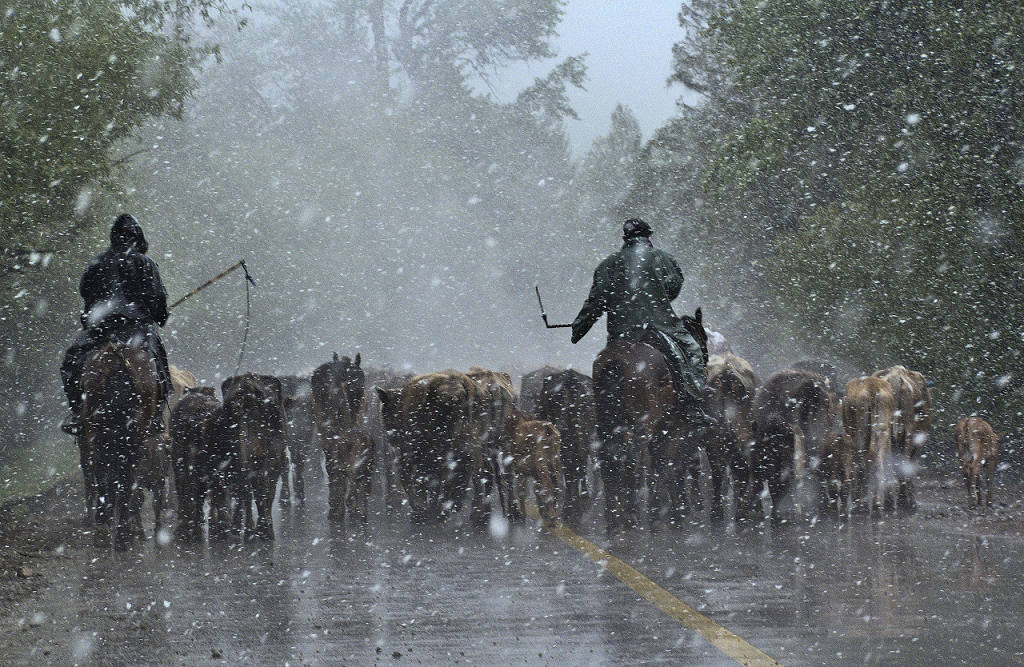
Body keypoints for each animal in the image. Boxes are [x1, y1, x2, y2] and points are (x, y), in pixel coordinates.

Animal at [593, 340, 704, 532]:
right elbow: (665, 465)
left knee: (609, 460)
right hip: (641, 427)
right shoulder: (671, 432)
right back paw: (630, 515)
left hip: (607, 425)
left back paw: (614, 518)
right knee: (632, 459)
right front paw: (666, 512)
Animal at [843, 379, 892, 514]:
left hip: (862, 431)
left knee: (865, 461)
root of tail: (873, 388)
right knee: (879, 462)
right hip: (882, 429)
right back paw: (878, 502)